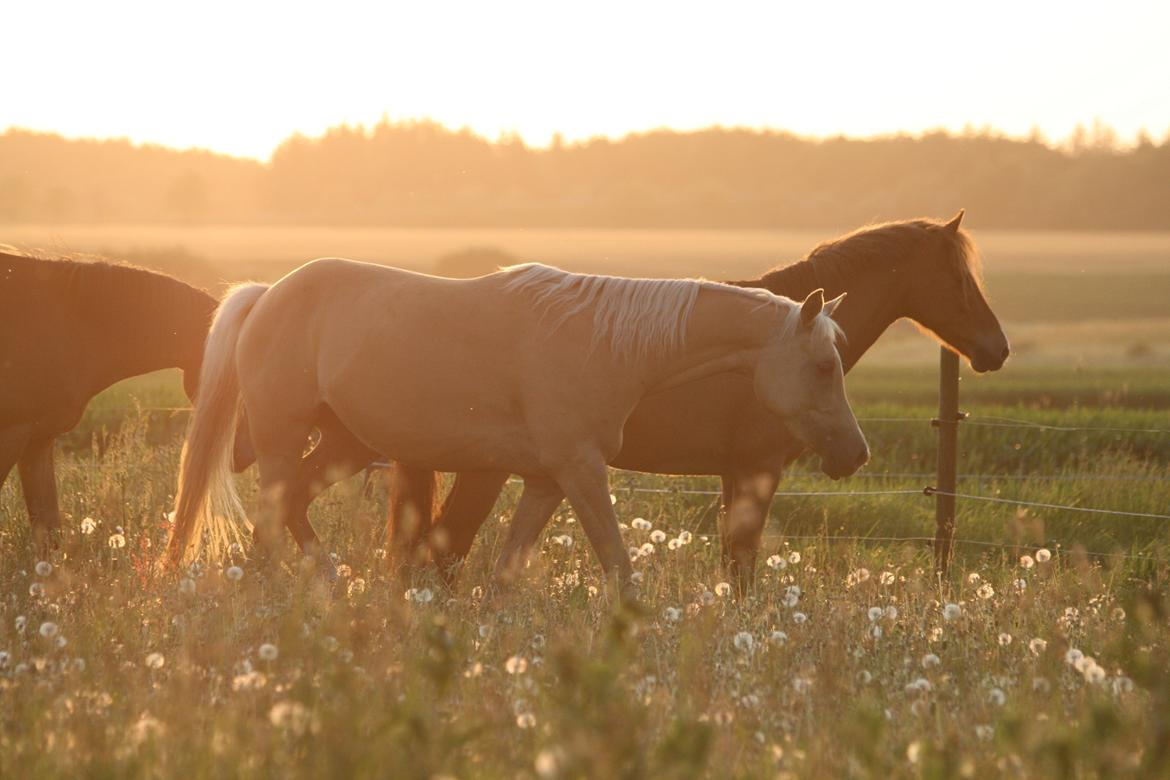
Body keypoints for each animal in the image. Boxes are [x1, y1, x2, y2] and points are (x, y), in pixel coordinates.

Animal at [164, 260, 865, 584]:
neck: (607, 345)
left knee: (294, 511)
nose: (855, 454)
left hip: (342, 446)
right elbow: (620, 569)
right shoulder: (581, 472)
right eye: (824, 365)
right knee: (270, 523)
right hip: (284, 440)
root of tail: (268, 293)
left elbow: (503, 576)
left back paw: (334, 585)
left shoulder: (546, 482)